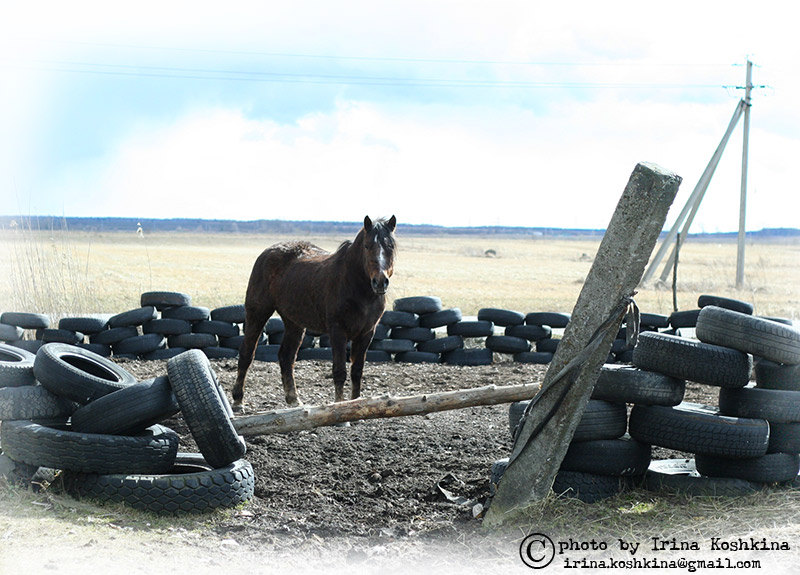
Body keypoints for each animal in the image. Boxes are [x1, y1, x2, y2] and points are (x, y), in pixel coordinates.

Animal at [231, 216, 396, 410]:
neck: (357, 287)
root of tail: (267, 252)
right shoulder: (337, 331)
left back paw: (294, 399)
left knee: (286, 356)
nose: (380, 281)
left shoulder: (366, 333)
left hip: (294, 322)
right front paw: (340, 408)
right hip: (257, 313)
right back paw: (238, 401)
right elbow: (339, 371)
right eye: (367, 246)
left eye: (390, 246)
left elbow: (357, 372)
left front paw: (357, 406)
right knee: (247, 354)